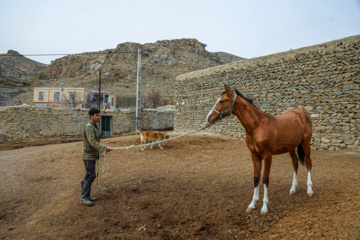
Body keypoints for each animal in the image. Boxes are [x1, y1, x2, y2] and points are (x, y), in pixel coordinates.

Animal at [207, 84, 314, 214]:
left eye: (222, 101)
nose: (209, 118)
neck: (257, 127)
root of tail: (301, 113)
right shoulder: (254, 155)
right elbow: (256, 178)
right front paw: (252, 204)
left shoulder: (267, 156)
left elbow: (265, 179)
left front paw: (264, 207)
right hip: (291, 147)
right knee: (295, 163)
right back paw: (293, 188)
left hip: (306, 143)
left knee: (308, 162)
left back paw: (310, 190)